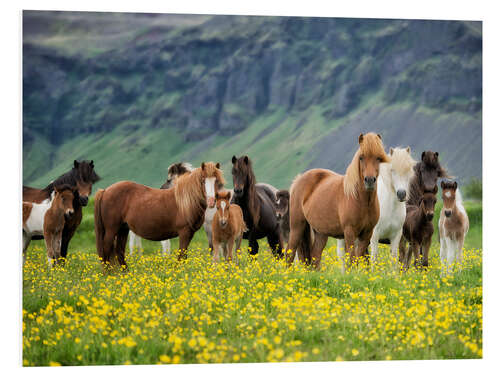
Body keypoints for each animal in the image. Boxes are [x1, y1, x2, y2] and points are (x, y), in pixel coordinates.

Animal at [94, 163, 224, 268]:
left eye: (217, 181)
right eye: (203, 180)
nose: (211, 201)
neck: (185, 200)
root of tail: (105, 191)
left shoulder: (190, 233)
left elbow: (184, 255)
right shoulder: (184, 232)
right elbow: (181, 255)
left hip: (123, 229)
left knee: (119, 251)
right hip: (111, 230)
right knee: (106, 250)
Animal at [288, 134, 388, 272]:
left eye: (378, 158)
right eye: (361, 157)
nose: (369, 180)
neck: (361, 201)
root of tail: (298, 180)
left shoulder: (367, 234)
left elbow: (359, 257)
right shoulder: (349, 232)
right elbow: (352, 258)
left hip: (321, 233)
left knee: (315, 255)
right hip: (297, 226)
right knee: (290, 252)